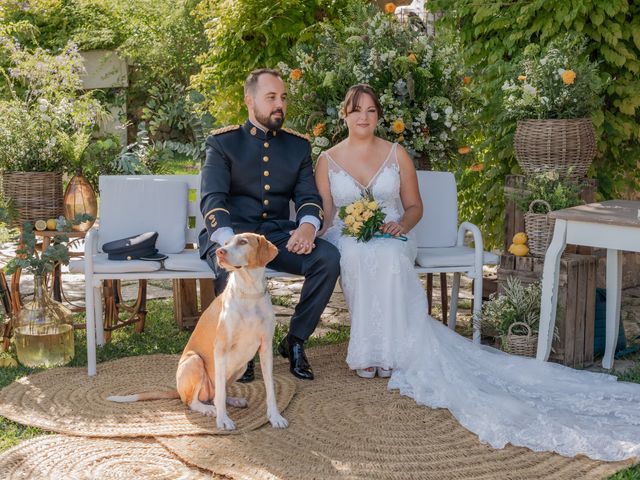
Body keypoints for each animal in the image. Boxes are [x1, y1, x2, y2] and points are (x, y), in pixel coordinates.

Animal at [107, 232, 288, 432]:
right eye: (226, 242)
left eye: (243, 242)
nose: (220, 252)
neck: (249, 293)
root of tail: (178, 390)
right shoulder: (221, 349)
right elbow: (219, 396)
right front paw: (223, 420)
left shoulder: (266, 348)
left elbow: (270, 389)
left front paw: (275, 417)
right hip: (195, 361)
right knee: (193, 401)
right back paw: (209, 409)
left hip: (240, 368)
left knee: (217, 394)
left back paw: (232, 400)